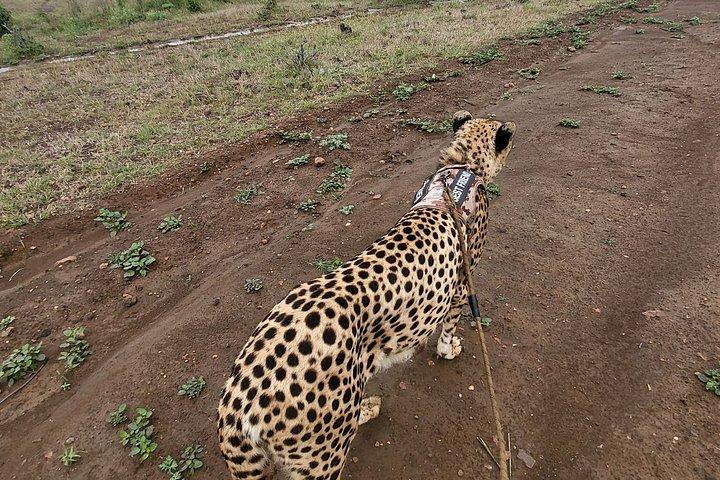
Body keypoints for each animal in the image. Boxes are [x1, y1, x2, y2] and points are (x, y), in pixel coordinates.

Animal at [218, 111, 516, 479]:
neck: (460, 169)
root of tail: (237, 404)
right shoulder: (462, 284)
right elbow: (450, 326)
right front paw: (448, 350)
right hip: (322, 458)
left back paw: (366, 408)